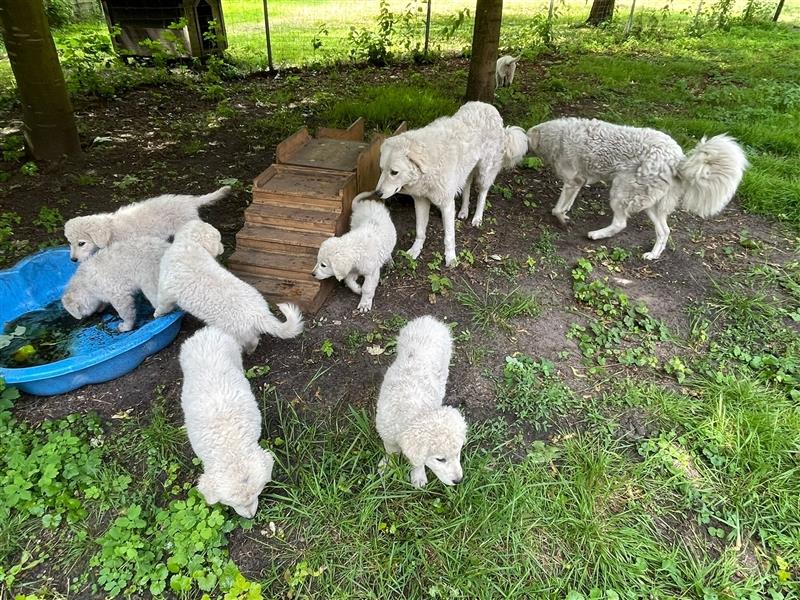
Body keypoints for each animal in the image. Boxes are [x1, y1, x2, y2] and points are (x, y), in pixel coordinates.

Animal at [376, 102, 504, 266]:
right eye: (381, 169)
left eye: (394, 172)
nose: (377, 193)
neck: (430, 165)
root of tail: (488, 105)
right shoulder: (421, 201)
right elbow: (420, 231)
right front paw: (415, 250)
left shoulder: (446, 204)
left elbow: (449, 237)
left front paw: (451, 258)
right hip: (467, 170)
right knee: (467, 186)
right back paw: (464, 211)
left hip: (484, 171)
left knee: (482, 193)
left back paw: (477, 218)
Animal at [376, 314, 468, 488]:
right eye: (440, 459)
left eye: (458, 452)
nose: (459, 481)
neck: (414, 410)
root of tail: (430, 320)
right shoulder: (386, 432)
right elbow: (390, 451)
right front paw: (387, 465)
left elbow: (417, 461)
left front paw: (418, 476)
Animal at [528, 116, 748, 258]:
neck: (558, 137)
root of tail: (678, 160)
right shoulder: (577, 183)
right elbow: (565, 205)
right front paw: (565, 217)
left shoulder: (573, 181)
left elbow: (557, 208)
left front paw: (561, 219)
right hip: (650, 204)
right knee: (664, 231)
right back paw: (652, 255)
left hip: (620, 192)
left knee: (620, 224)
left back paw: (597, 234)